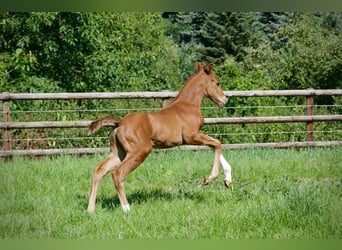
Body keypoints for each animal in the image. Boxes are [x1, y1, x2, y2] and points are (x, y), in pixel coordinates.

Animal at [87, 61, 232, 212]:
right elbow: (217, 143)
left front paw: (227, 180)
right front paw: (208, 179)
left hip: (118, 153)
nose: (225, 100)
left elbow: (214, 145)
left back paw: (90, 209)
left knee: (99, 170)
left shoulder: (196, 137)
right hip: (140, 151)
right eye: (217, 83)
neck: (187, 106)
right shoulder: (192, 136)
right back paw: (126, 209)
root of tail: (120, 122)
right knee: (117, 173)